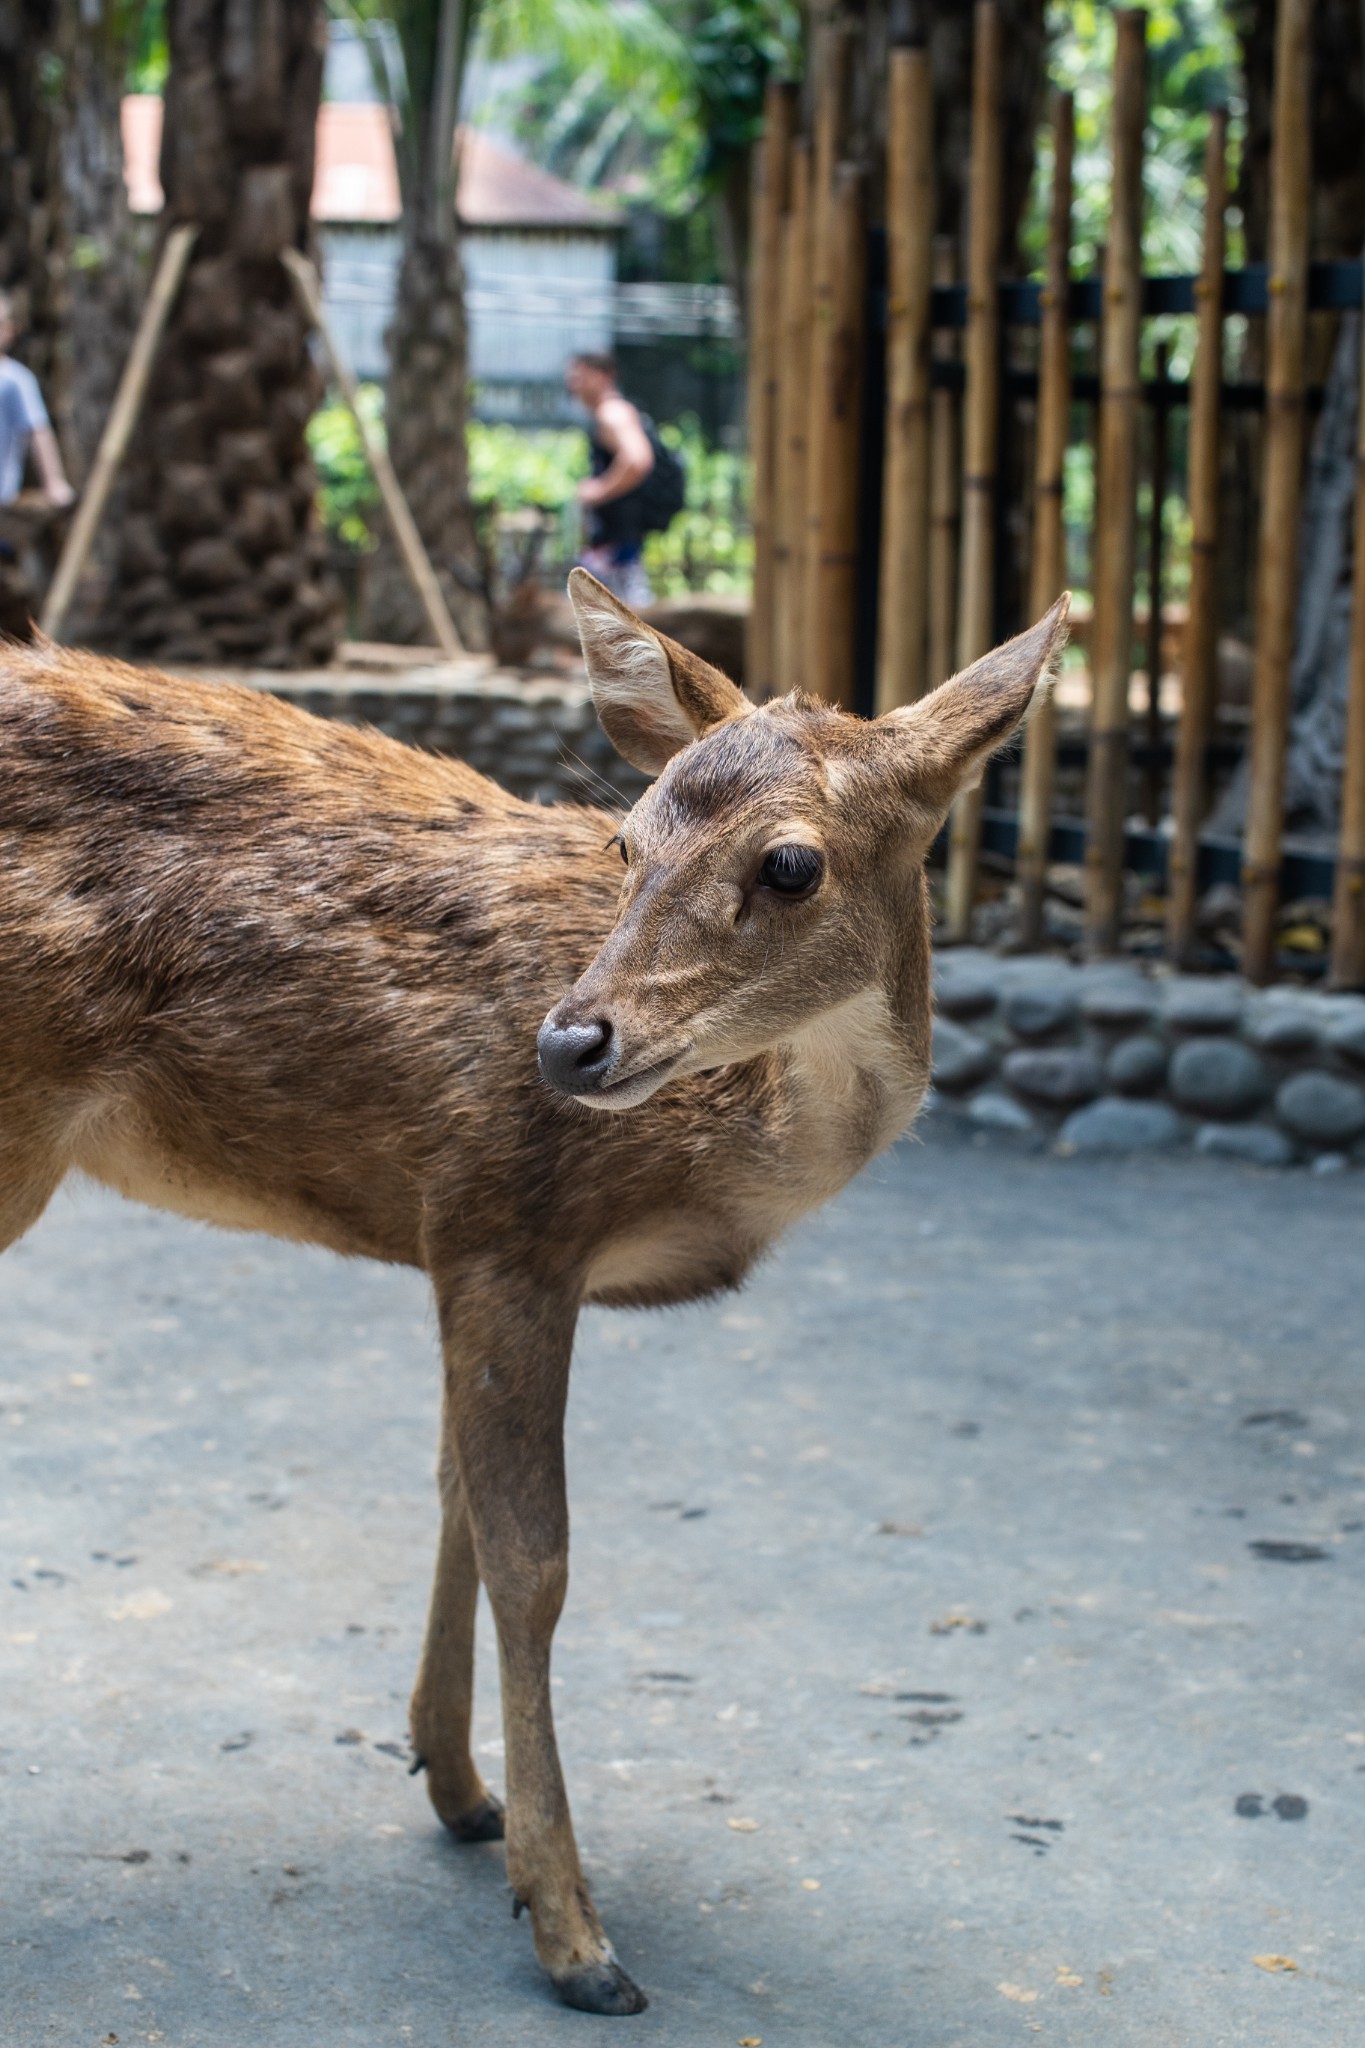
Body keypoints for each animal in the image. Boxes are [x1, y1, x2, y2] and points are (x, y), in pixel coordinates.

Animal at [0, 569, 1064, 2007]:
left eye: (790, 862)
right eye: (624, 840)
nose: (567, 1042)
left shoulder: (465, 1249)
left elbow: (455, 1492)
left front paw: (455, 1784)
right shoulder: (503, 1216)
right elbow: (534, 1556)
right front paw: (573, 1932)